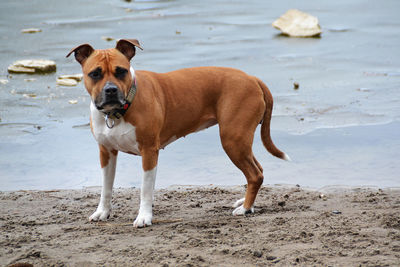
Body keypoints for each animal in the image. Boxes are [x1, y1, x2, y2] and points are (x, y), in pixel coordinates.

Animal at [67, 39, 290, 228]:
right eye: (95, 74)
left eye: (121, 71)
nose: (111, 90)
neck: (118, 111)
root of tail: (252, 78)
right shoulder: (106, 152)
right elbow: (106, 187)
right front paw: (102, 212)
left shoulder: (149, 152)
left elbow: (145, 190)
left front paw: (144, 217)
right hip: (240, 141)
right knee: (258, 170)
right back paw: (245, 203)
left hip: (233, 140)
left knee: (254, 174)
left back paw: (245, 208)